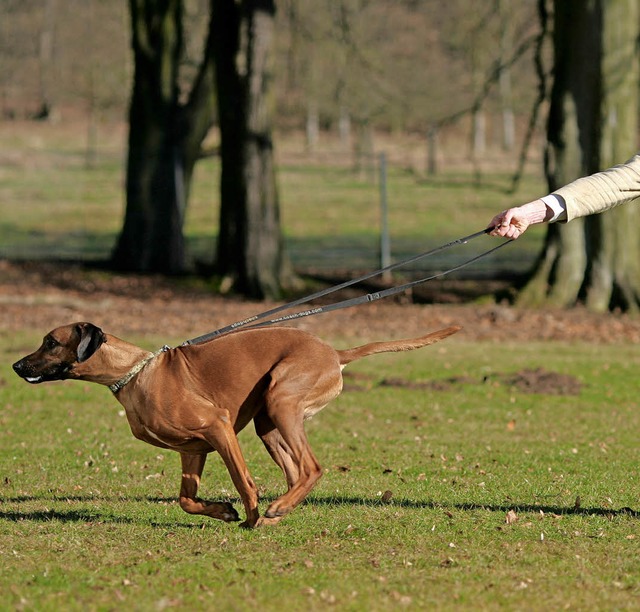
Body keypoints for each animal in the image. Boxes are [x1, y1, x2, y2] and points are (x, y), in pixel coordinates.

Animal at [11, 322, 460, 528]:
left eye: (51, 342)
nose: (15, 366)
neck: (135, 374)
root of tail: (334, 352)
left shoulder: (219, 427)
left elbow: (244, 482)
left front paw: (248, 516)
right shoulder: (192, 451)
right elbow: (186, 499)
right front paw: (224, 512)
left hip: (281, 401)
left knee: (312, 468)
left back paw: (275, 509)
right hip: (269, 423)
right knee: (297, 472)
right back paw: (282, 510)